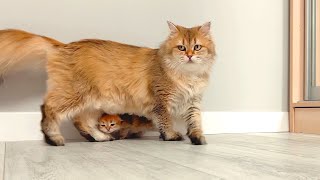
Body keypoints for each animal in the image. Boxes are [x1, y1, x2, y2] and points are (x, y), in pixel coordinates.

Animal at [0, 21, 216, 146]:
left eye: (197, 47)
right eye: (181, 47)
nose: (190, 55)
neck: (188, 76)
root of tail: (64, 46)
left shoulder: (193, 102)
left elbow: (196, 122)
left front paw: (197, 138)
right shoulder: (161, 100)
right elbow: (166, 121)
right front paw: (171, 136)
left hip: (92, 103)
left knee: (81, 121)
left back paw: (100, 137)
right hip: (74, 94)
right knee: (48, 108)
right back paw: (53, 139)